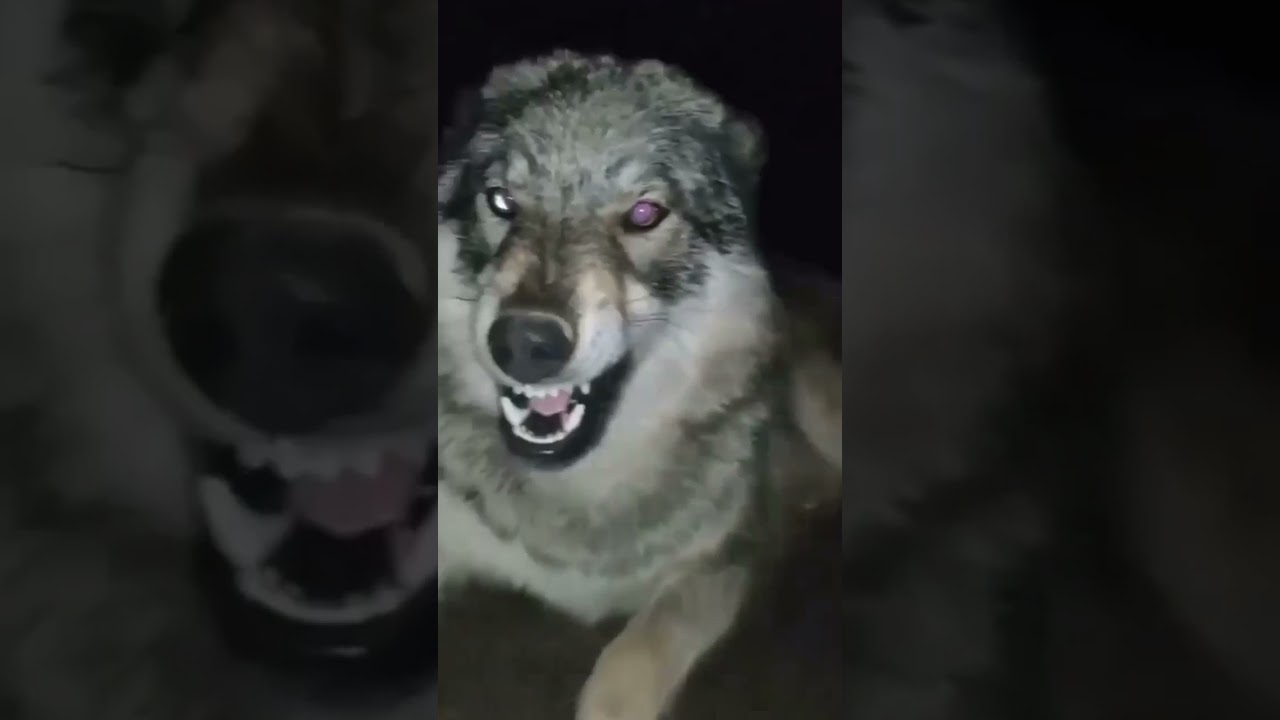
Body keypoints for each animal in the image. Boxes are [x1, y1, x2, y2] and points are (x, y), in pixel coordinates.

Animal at [435, 51, 842, 720]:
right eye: (501, 201)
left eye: (645, 214)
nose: (524, 342)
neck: (579, 493)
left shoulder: (725, 560)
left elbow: (635, 656)